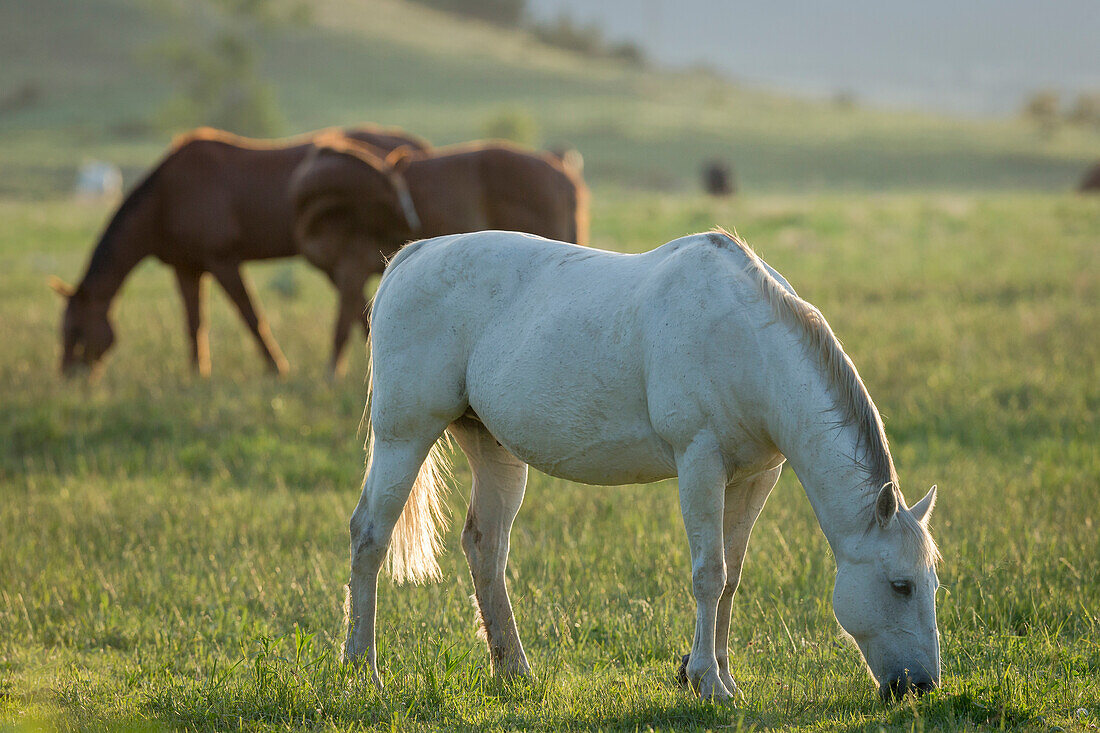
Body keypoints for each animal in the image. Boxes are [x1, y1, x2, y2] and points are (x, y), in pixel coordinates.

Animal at [52, 125, 429, 376]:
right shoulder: (187, 269)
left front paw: (276, 368)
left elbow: (251, 317)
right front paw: (197, 375)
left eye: (77, 330)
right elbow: (194, 324)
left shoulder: (223, 262)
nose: (70, 378)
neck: (167, 197)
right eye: (64, 331)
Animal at [288, 137, 589, 374]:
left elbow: (342, 328)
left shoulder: (351, 270)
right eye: (388, 197)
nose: (411, 224)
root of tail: (563, 174)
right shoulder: (340, 275)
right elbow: (361, 321)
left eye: (396, 192)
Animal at [345, 228, 946, 695]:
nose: (920, 687)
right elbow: (709, 574)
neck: (747, 341)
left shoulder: (755, 478)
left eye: (932, 584)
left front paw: (720, 676)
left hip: (494, 451)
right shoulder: (701, 464)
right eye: (900, 586)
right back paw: (362, 670)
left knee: (485, 547)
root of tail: (413, 255)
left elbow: (731, 576)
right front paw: (707, 682)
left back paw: (513, 670)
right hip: (403, 438)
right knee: (370, 534)